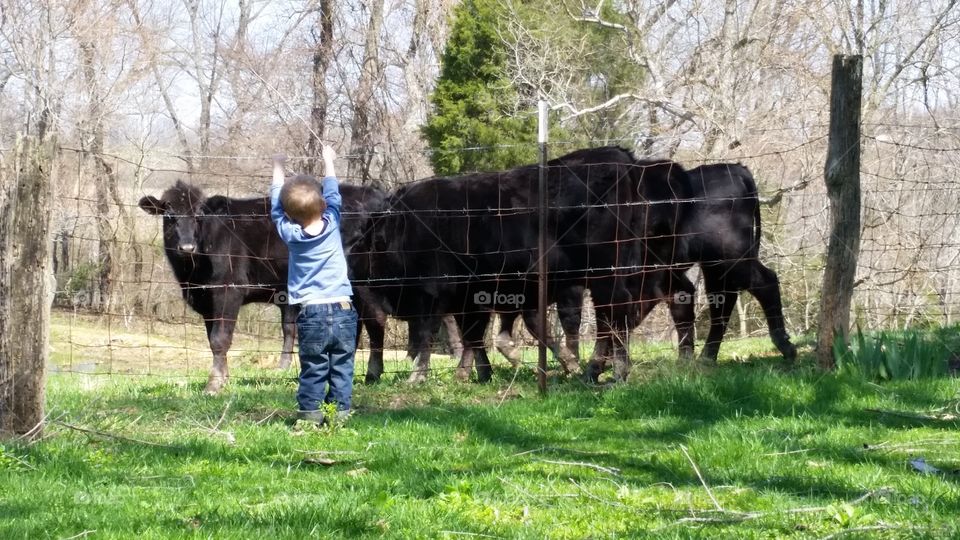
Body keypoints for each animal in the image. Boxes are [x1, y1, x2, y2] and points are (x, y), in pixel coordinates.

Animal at [139, 180, 388, 394]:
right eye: (169, 215)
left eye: (200, 215)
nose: (187, 247)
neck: (192, 276)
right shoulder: (206, 299)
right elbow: (212, 340)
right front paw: (223, 377)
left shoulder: (228, 290)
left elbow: (220, 339)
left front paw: (214, 384)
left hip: (363, 281)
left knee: (376, 318)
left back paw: (373, 374)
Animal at [353, 146, 692, 383]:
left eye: (362, 245)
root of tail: (624, 160)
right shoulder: (474, 296)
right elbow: (475, 334)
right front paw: (477, 372)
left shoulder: (432, 292)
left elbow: (428, 334)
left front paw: (418, 376)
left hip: (606, 274)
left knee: (614, 315)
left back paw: (611, 370)